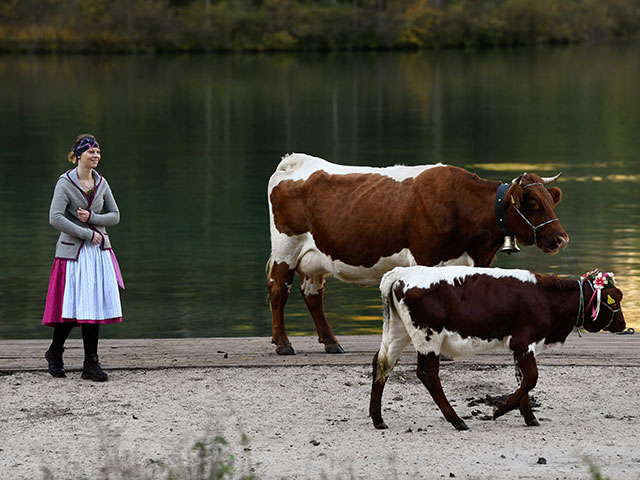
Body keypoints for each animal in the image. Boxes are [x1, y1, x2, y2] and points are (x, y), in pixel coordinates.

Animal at [268, 152, 568, 354]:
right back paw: (283, 344)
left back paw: (331, 343)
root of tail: (294, 161)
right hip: (286, 248)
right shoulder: (426, 257)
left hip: (314, 259)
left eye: (551, 201)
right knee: (278, 290)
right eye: (533, 203)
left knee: (313, 295)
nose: (561, 238)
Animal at [370, 266, 624, 432]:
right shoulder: (524, 342)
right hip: (428, 336)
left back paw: (377, 418)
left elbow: (523, 379)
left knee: (382, 363)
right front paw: (500, 410)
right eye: (613, 300)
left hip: (399, 332)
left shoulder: (518, 346)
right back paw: (457, 420)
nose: (622, 324)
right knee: (428, 375)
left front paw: (528, 416)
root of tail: (401, 273)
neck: (545, 297)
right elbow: (531, 378)